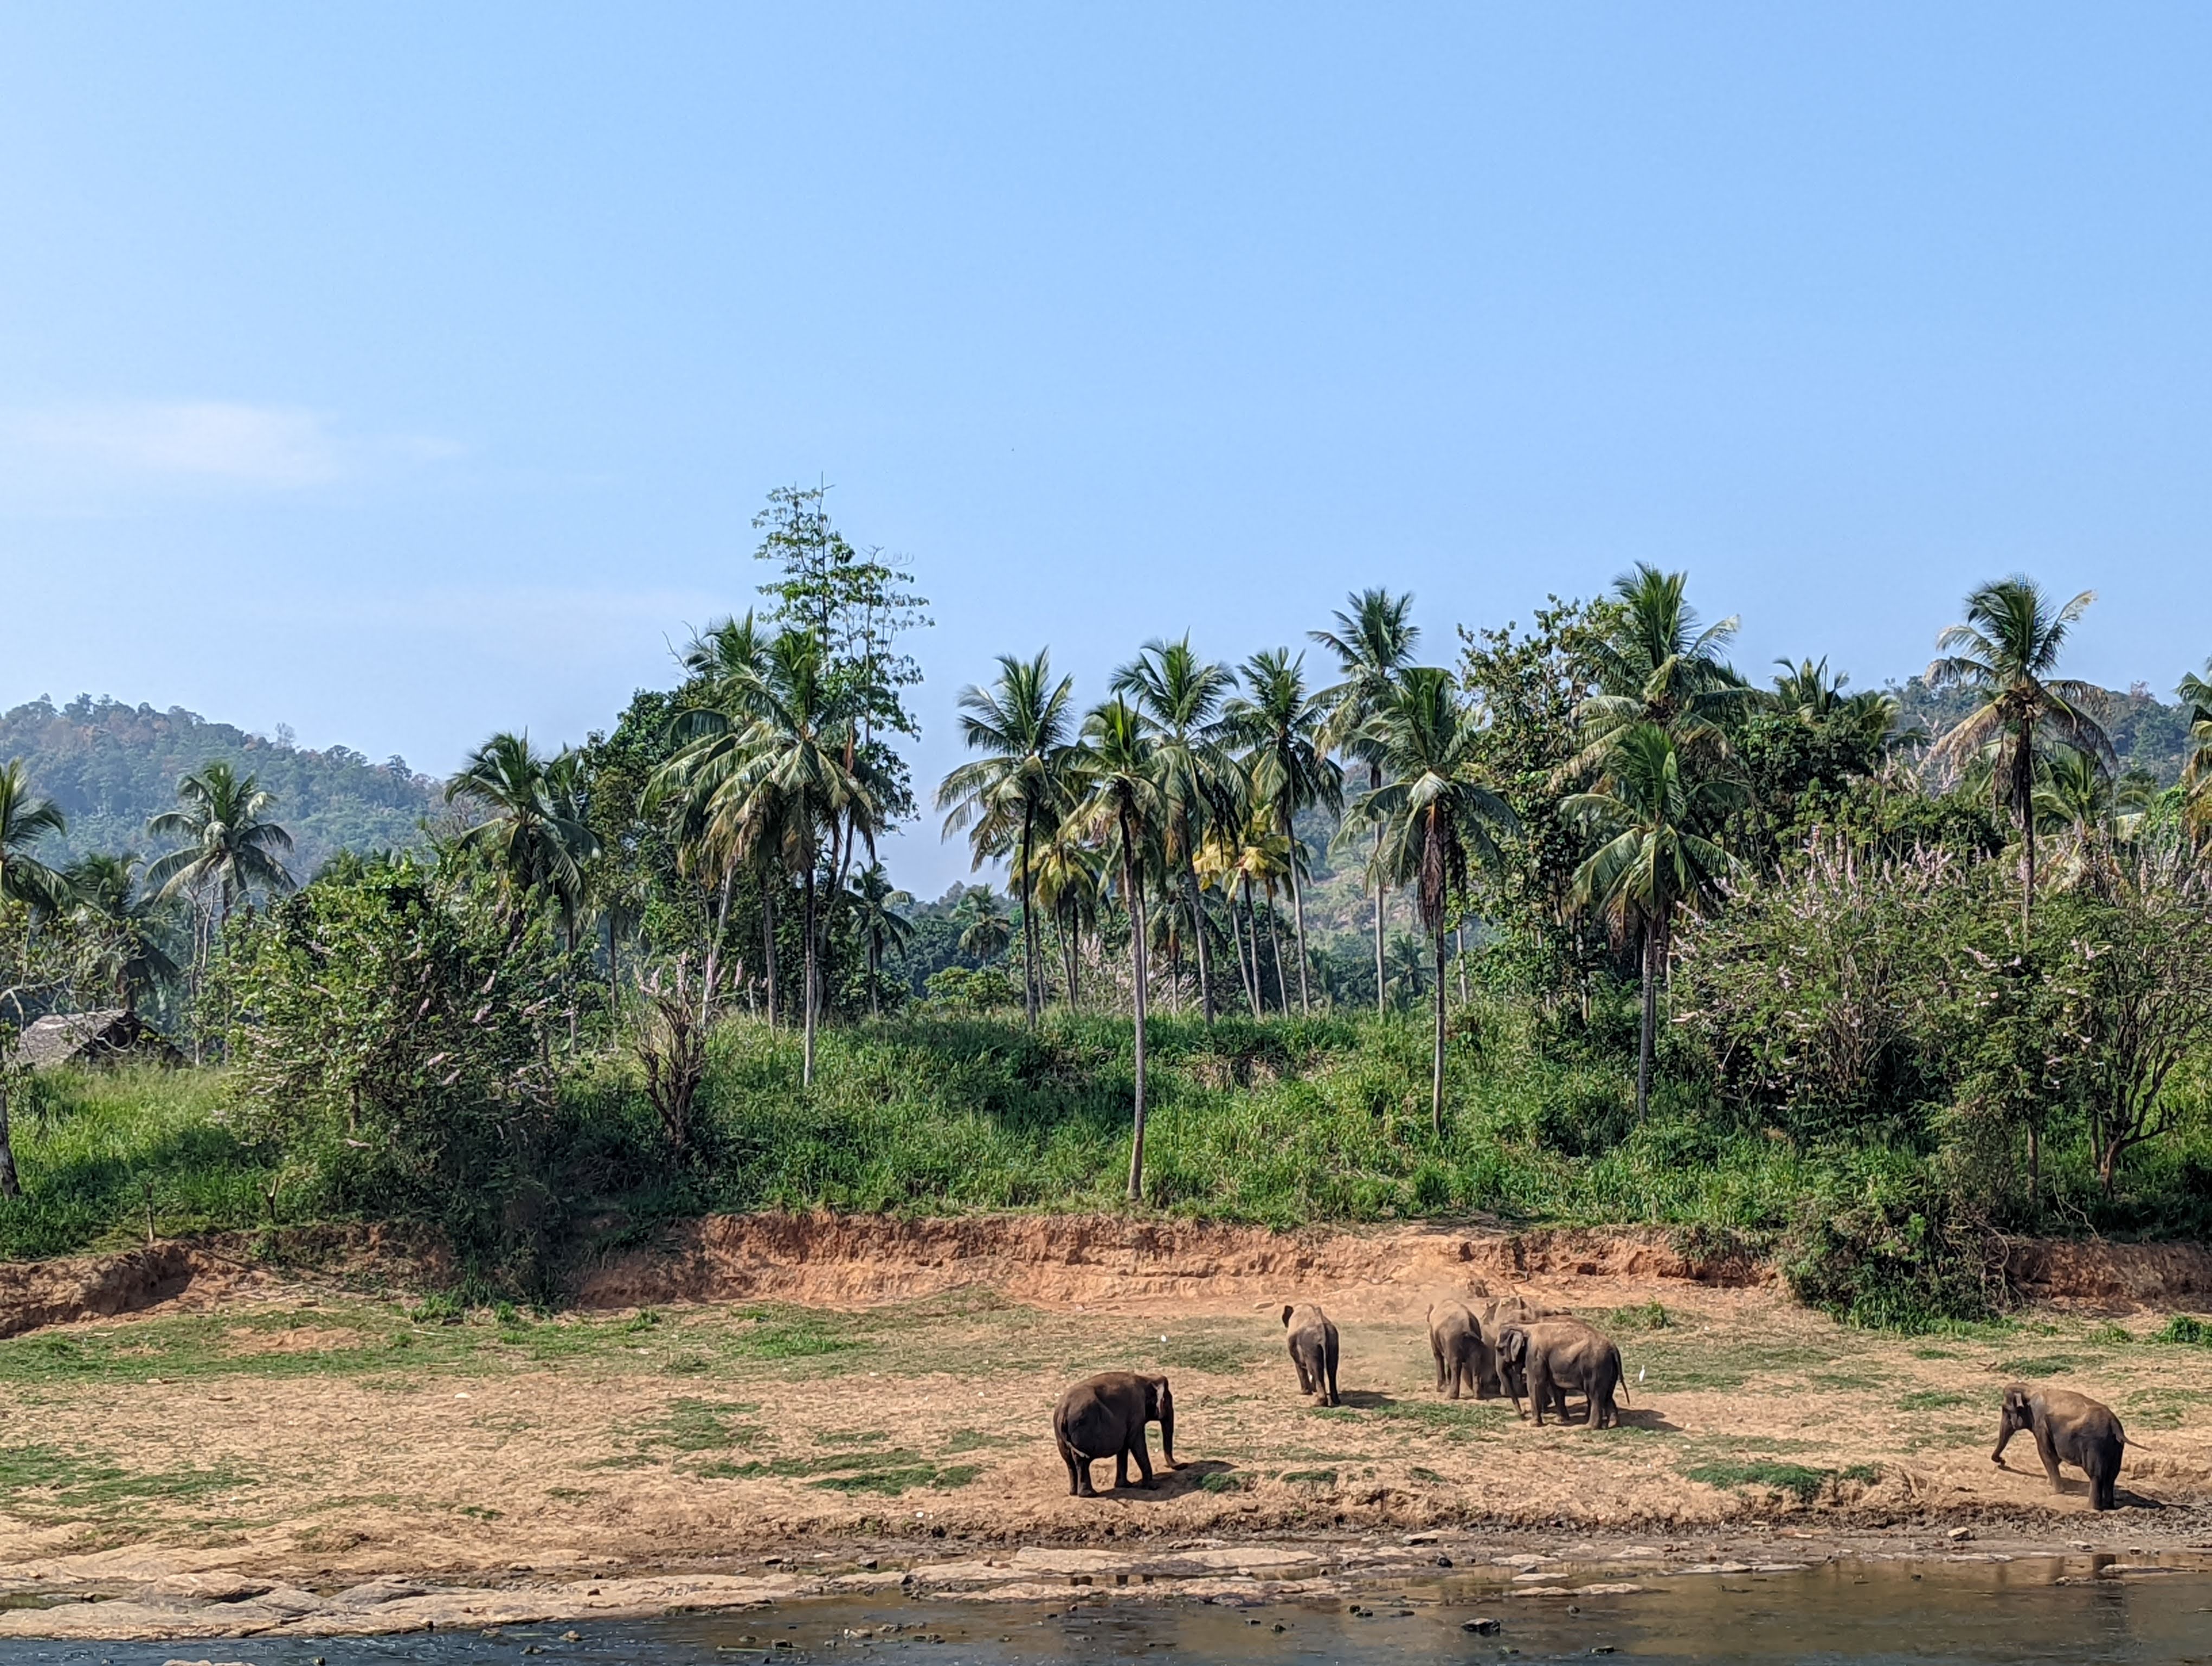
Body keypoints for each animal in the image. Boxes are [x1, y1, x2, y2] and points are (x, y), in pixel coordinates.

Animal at [1053, 1371, 1177, 1497]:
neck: (1147, 1378)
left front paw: (1125, 1485)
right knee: (1082, 1461)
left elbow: (1124, 1447)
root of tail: (1063, 1410)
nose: (1180, 1464)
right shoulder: (1136, 1412)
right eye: (1167, 1401)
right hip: (1081, 1431)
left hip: (1061, 1436)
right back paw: (1089, 1494)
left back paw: (1073, 1493)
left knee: (1069, 1461)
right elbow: (1136, 1444)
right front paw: (1154, 1487)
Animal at [1282, 1303, 1340, 1405]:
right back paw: (1336, 1401)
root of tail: (1322, 1328)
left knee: (1315, 1368)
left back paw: (1319, 1403)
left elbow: (1300, 1366)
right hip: (1333, 1341)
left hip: (1311, 1345)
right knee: (1332, 1369)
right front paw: (1312, 1391)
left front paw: (1303, 1393)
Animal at [1495, 1319, 1625, 1428]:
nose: (1523, 1414)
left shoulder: (1535, 1355)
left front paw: (1532, 1425)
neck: (1524, 1327)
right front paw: (1562, 1421)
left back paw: (1588, 1427)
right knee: (1607, 1395)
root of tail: (1613, 1348)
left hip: (1595, 1368)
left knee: (1595, 1395)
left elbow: (1535, 1384)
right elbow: (1557, 1389)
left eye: (1499, 1349)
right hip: (1609, 1369)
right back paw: (1612, 1424)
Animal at [1992, 1385, 2127, 1511]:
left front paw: (2055, 1492)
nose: (2003, 1462)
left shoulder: (2040, 1424)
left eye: (2005, 1409)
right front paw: (2049, 1482)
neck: (2030, 1389)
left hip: (2095, 1446)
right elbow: (2055, 1455)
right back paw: (2109, 1506)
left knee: (2096, 1475)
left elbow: (2045, 1452)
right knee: (2112, 1475)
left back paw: (2091, 1508)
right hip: (2115, 1447)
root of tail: (2115, 1426)